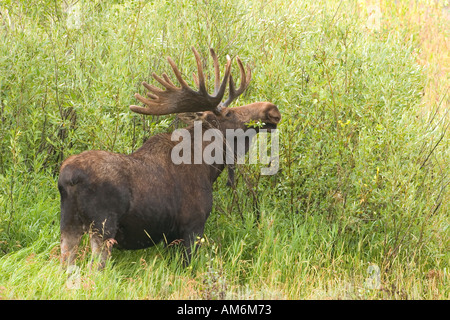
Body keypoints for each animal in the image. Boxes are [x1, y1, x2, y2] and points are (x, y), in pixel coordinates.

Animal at [57, 46, 280, 268]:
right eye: (229, 114)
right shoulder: (193, 225)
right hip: (103, 227)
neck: (209, 166)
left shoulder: (171, 237)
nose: (272, 109)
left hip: (68, 225)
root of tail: (69, 178)